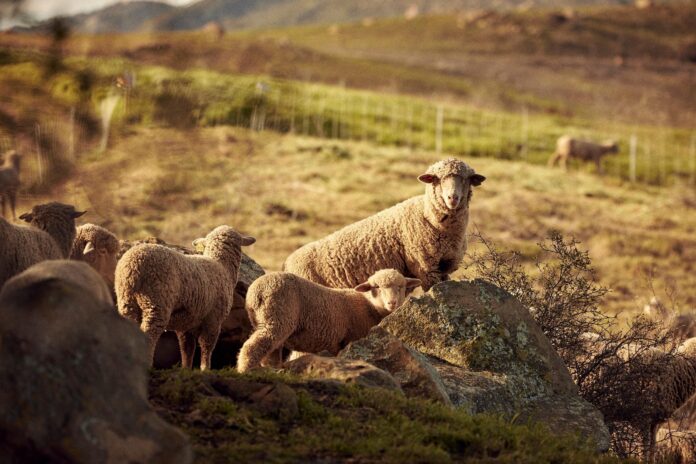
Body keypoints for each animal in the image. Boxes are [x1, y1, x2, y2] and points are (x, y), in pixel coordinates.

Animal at [115, 225, 255, 370]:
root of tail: (132, 265)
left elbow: (187, 348)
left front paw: (186, 368)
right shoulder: (214, 319)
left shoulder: (187, 323)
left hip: (126, 301)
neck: (221, 266)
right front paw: (205, 368)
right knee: (149, 333)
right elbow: (207, 346)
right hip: (156, 302)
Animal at [237, 268, 421, 373]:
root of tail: (256, 291)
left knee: (270, 353)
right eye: (376, 287)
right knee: (253, 347)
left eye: (401, 287)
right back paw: (246, 370)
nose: (392, 303)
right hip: (277, 319)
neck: (368, 305)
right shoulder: (349, 340)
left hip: (268, 321)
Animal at [283, 158, 485, 291]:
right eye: (437, 179)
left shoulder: (445, 267)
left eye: (466, 179)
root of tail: (287, 263)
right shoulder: (426, 268)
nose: (453, 198)